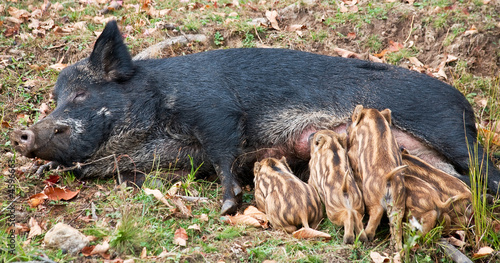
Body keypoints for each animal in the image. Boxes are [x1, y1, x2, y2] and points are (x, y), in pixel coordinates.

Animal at [9, 20, 498, 214]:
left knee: (486, 171)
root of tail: (466, 104)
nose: (23, 134)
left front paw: (228, 205)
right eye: (55, 98)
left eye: (81, 94)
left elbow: (225, 153)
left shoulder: (215, 109)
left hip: (449, 130)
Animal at [348, 104, 406, 250]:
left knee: (377, 213)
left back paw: (366, 236)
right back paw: (397, 248)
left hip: (371, 197)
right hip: (398, 202)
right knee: (397, 223)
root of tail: (389, 178)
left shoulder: (353, 155)